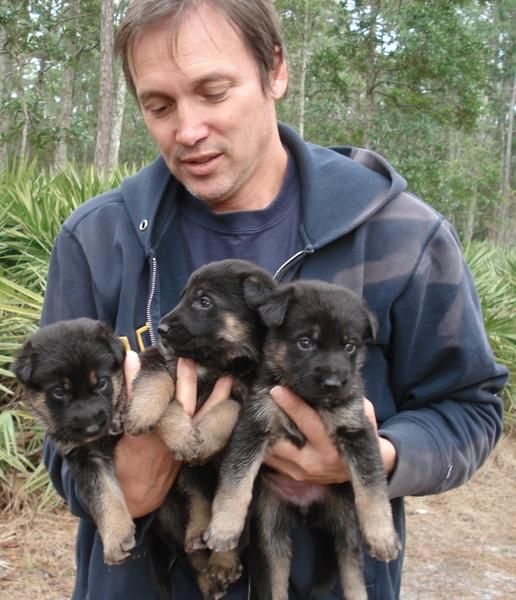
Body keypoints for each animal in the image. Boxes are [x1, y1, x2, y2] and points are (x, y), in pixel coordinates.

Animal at [204, 282, 402, 600]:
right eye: (305, 342)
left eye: (349, 346)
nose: (334, 384)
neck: (309, 401)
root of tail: (307, 506)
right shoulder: (254, 425)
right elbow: (236, 480)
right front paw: (224, 527)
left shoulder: (358, 430)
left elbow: (372, 487)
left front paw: (383, 535)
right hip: (271, 523)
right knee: (276, 574)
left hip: (346, 521)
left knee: (352, 571)